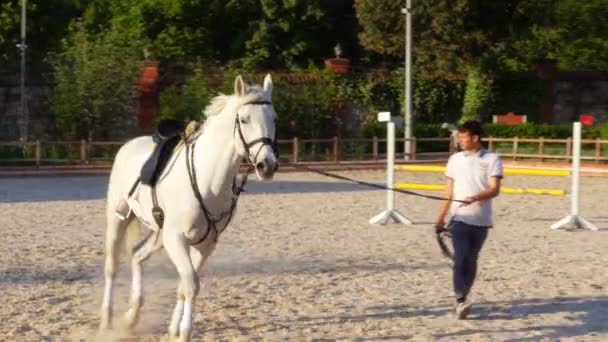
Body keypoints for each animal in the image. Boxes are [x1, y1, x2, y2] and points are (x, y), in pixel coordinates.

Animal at [100, 73, 280, 340]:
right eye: (244, 119)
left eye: (274, 118)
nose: (267, 165)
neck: (208, 180)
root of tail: (128, 145)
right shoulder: (177, 240)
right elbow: (191, 285)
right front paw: (184, 332)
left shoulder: (205, 245)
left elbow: (184, 287)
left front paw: (174, 331)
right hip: (118, 219)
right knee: (112, 266)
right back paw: (107, 319)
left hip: (159, 234)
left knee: (137, 255)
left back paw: (132, 316)